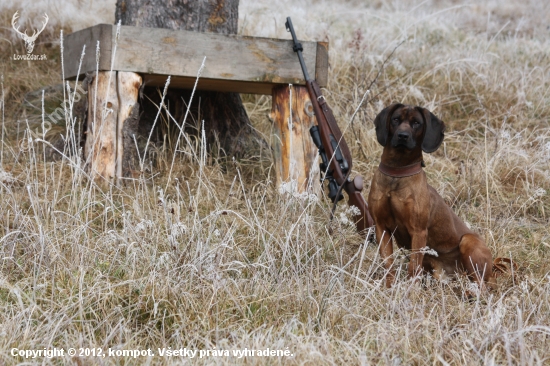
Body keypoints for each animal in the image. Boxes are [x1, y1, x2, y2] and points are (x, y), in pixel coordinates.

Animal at [368, 103, 498, 292]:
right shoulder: (381, 227)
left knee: (481, 286)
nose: (402, 136)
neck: (397, 174)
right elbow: (388, 264)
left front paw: (411, 293)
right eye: (396, 119)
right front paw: (389, 288)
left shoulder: (418, 232)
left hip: (469, 242)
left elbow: (413, 266)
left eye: (416, 123)